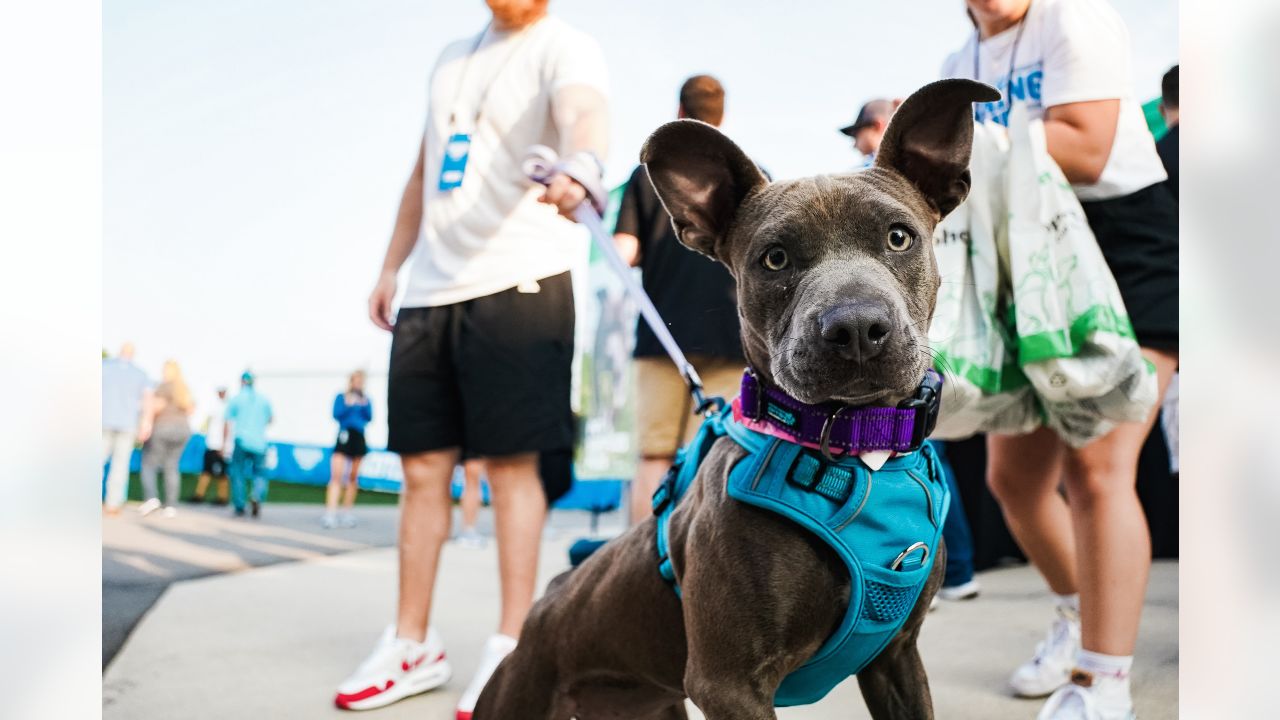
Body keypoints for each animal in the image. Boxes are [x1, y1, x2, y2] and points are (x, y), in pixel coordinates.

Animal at [473, 78, 998, 717]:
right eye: (774, 258)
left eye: (900, 238)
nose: (856, 327)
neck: (857, 449)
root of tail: (541, 612)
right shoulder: (728, 683)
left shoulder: (896, 658)